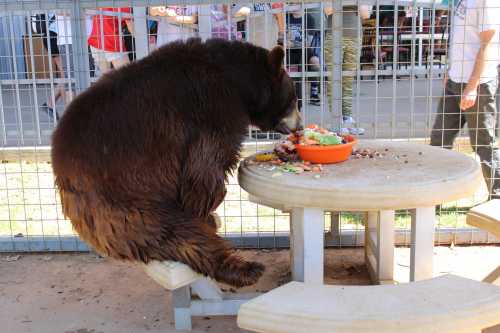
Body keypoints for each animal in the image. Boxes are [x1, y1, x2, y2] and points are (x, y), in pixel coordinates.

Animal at [50, 37, 300, 286]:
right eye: (294, 98)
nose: (299, 125)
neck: (237, 81)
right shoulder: (211, 109)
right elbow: (204, 170)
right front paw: (206, 212)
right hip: (126, 197)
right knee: (177, 234)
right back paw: (244, 268)